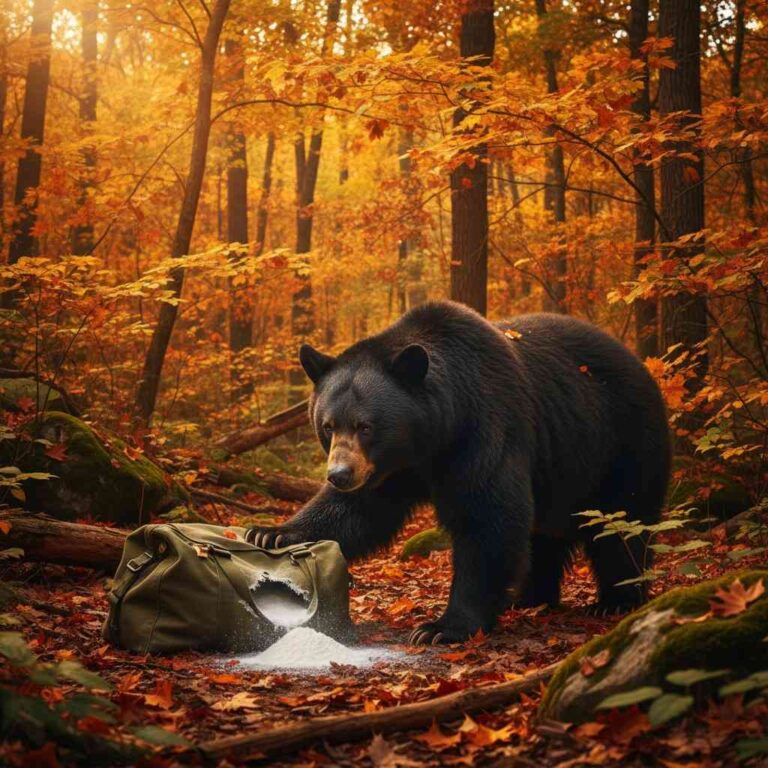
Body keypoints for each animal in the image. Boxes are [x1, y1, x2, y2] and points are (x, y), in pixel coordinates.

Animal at [246, 301, 670, 644]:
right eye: (328, 425)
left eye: (365, 426)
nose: (339, 474)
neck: (431, 437)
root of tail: (642, 365)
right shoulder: (393, 468)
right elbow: (359, 511)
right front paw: (271, 533)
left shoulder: (485, 430)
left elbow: (487, 520)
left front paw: (441, 627)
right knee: (545, 535)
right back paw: (528, 597)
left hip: (622, 443)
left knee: (622, 523)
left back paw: (615, 600)